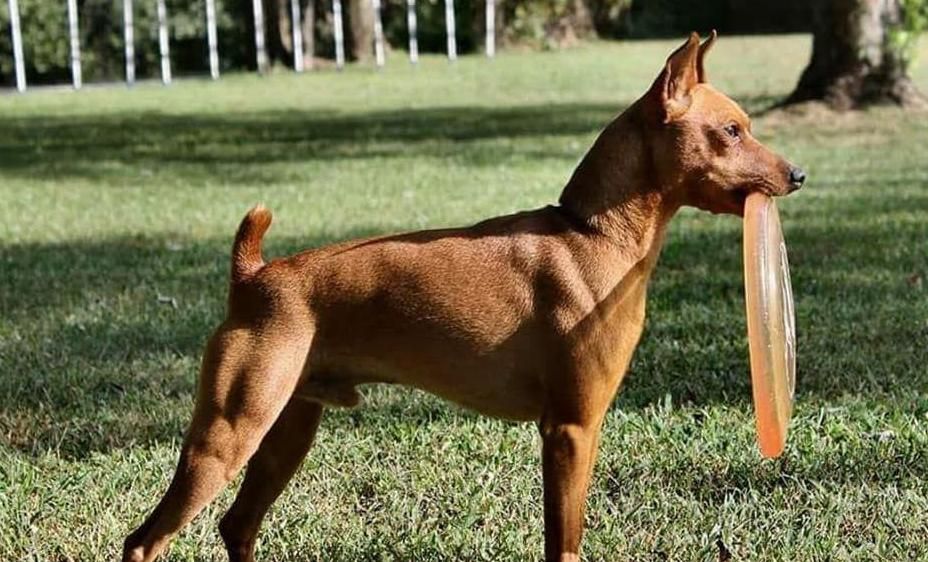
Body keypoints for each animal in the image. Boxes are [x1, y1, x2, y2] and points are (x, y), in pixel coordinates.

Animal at [123, 31, 804, 560]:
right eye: (731, 131)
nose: (797, 174)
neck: (591, 231)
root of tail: (254, 276)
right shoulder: (570, 429)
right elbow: (564, 543)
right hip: (226, 434)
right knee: (146, 539)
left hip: (284, 432)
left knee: (236, 526)